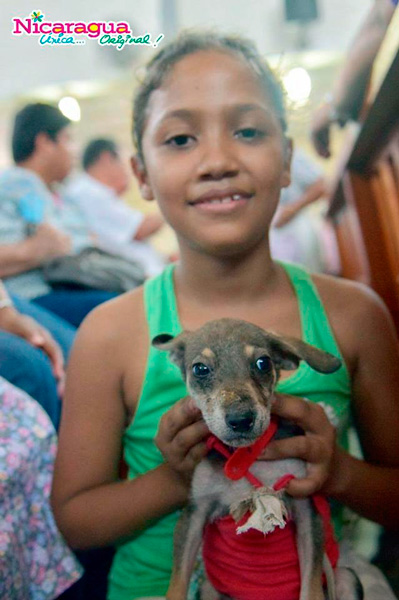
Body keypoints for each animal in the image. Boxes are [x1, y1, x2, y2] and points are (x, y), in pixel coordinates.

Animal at [153, 318, 362, 600]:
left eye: (263, 363)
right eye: (200, 369)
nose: (241, 419)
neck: (245, 456)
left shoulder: (307, 510)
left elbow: (311, 588)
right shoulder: (195, 512)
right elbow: (177, 583)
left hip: (346, 578)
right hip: (209, 588)